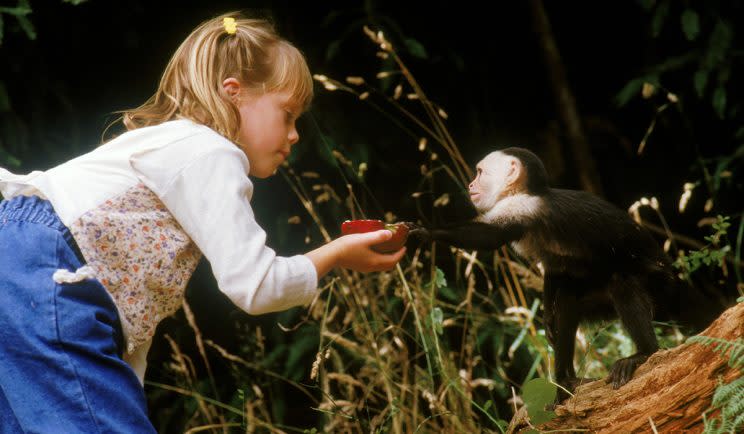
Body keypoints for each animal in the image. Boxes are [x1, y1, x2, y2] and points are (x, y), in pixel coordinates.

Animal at [404, 147, 724, 402]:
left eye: (480, 172)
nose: (470, 183)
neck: (527, 192)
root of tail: (672, 275)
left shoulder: (523, 206)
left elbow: (487, 237)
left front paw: (426, 233)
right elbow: (557, 271)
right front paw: (548, 315)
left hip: (657, 284)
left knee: (622, 283)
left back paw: (644, 353)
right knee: (570, 300)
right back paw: (566, 379)